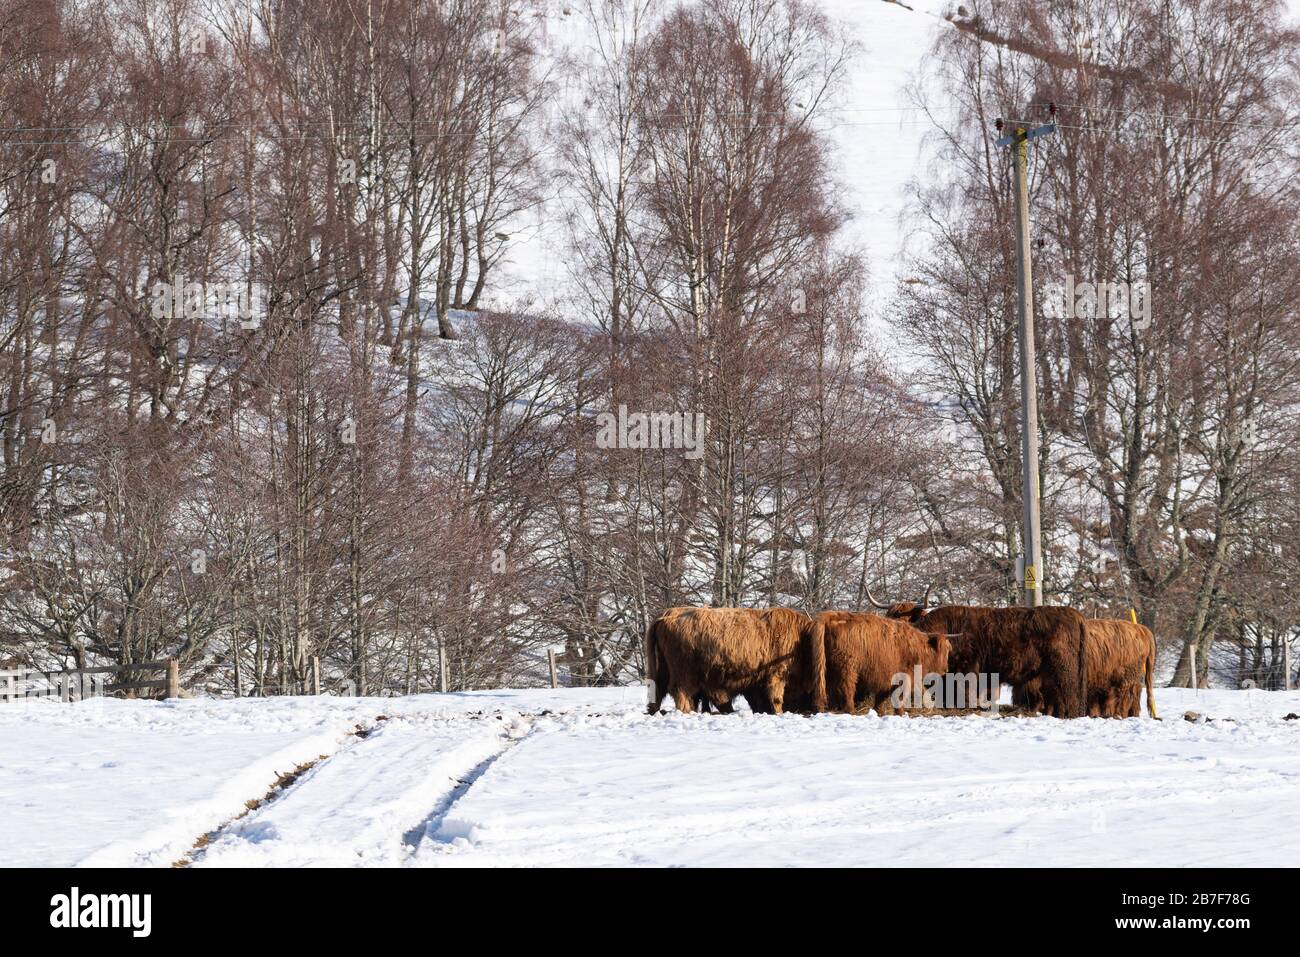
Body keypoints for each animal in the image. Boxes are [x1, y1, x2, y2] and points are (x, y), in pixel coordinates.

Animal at [645, 606, 815, 715]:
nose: (808, 709)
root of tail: (668, 614)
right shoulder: (776, 674)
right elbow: (776, 697)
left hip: (662, 668)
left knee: (658, 689)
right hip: (683, 671)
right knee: (680, 690)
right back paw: (687, 711)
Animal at [809, 611, 951, 715]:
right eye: (946, 651)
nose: (946, 669)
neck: (920, 649)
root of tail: (833, 614)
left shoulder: (886, 679)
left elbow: (881, 698)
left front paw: (879, 712)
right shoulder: (905, 677)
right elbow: (899, 697)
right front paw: (900, 713)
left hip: (827, 666)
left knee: (824, 686)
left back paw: (821, 709)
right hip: (847, 667)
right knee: (847, 688)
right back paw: (851, 710)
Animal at [871, 593, 1089, 719]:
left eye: (903, 620)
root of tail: (1075, 615)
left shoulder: (967, 670)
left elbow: (966, 695)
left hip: (1064, 670)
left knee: (1069, 693)